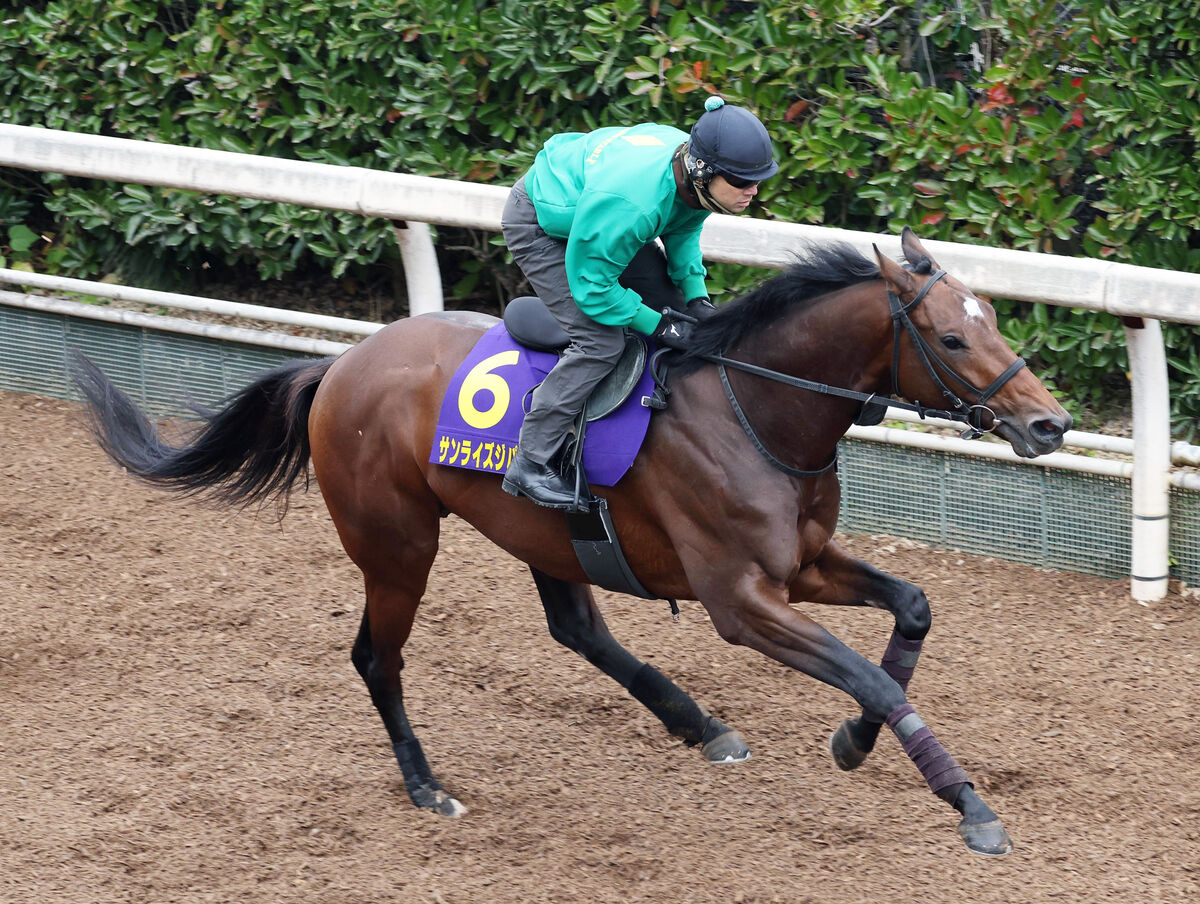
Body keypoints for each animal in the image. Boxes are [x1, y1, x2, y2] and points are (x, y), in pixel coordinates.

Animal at [72, 225, 1070, 854]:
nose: (1050, 424)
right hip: (398, 546)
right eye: (952, 338)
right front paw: (968, 806)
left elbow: (912, 611)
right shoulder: (741, 600)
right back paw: (428, 786)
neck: (756, 410)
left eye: (994, 320)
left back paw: (698, 724)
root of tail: (343, 362)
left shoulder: (805, 565)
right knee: (376, 658)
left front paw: (856, 740)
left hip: (542, 533)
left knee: (577, 630)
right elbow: (869, 672)